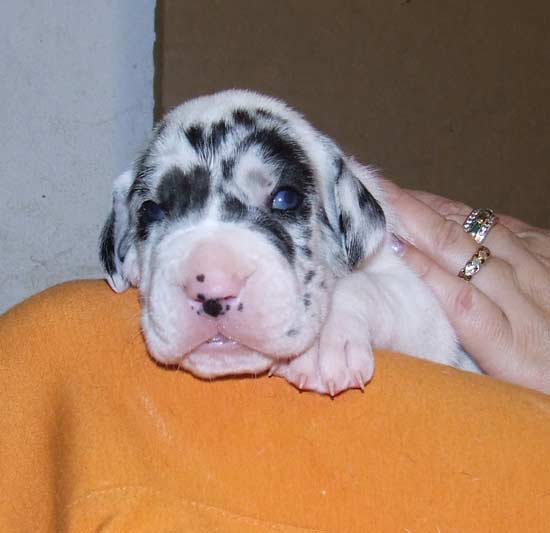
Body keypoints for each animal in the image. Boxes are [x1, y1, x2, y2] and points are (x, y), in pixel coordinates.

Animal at [99, 89, 479, 396]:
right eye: (151, 209)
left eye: (285, 198)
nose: (212, 290)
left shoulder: (424, 317)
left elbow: (365, 284)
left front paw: (323, 340)